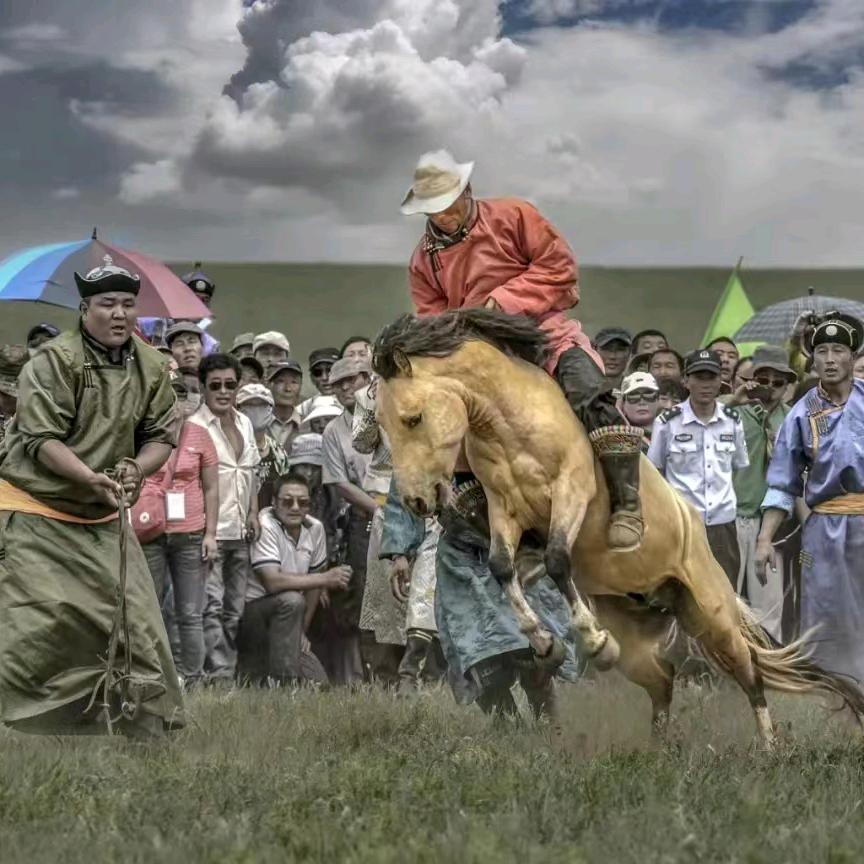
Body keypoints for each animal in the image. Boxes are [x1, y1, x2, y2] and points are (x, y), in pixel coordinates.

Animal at [372, 308, 864, 746]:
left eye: (413, 417)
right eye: (384, 424)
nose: (417, 500)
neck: (511, 420)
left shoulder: (571, 490)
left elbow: (557, 558)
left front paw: (590, 640)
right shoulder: (503, 512)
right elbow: (500, 568)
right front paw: (547, 643)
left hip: (713, 614)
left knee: (751, 675)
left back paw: (769, 746)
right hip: (638, 637)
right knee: (662, 681)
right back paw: (659, 745)